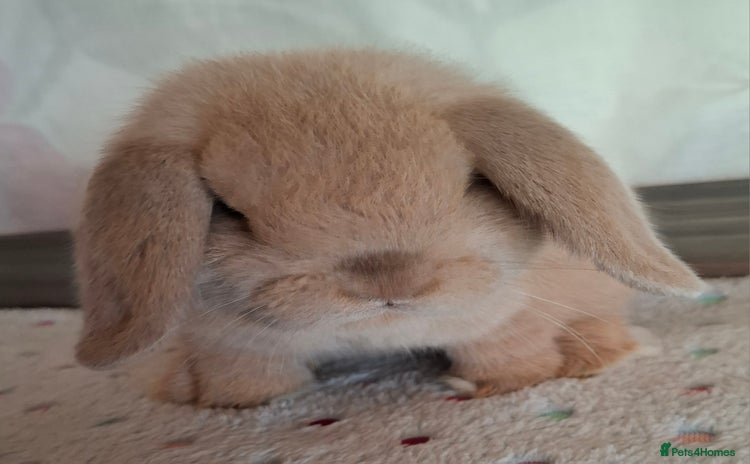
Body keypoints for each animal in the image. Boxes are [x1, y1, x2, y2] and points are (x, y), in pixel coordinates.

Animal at [74, 49, 706, 407]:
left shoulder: (513, 317)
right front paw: (234, 404)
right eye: (230, 211)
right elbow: (244, 376)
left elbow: (512, 353)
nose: (388, 280)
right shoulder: (229, 342)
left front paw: (496, 387)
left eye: (471, 183)